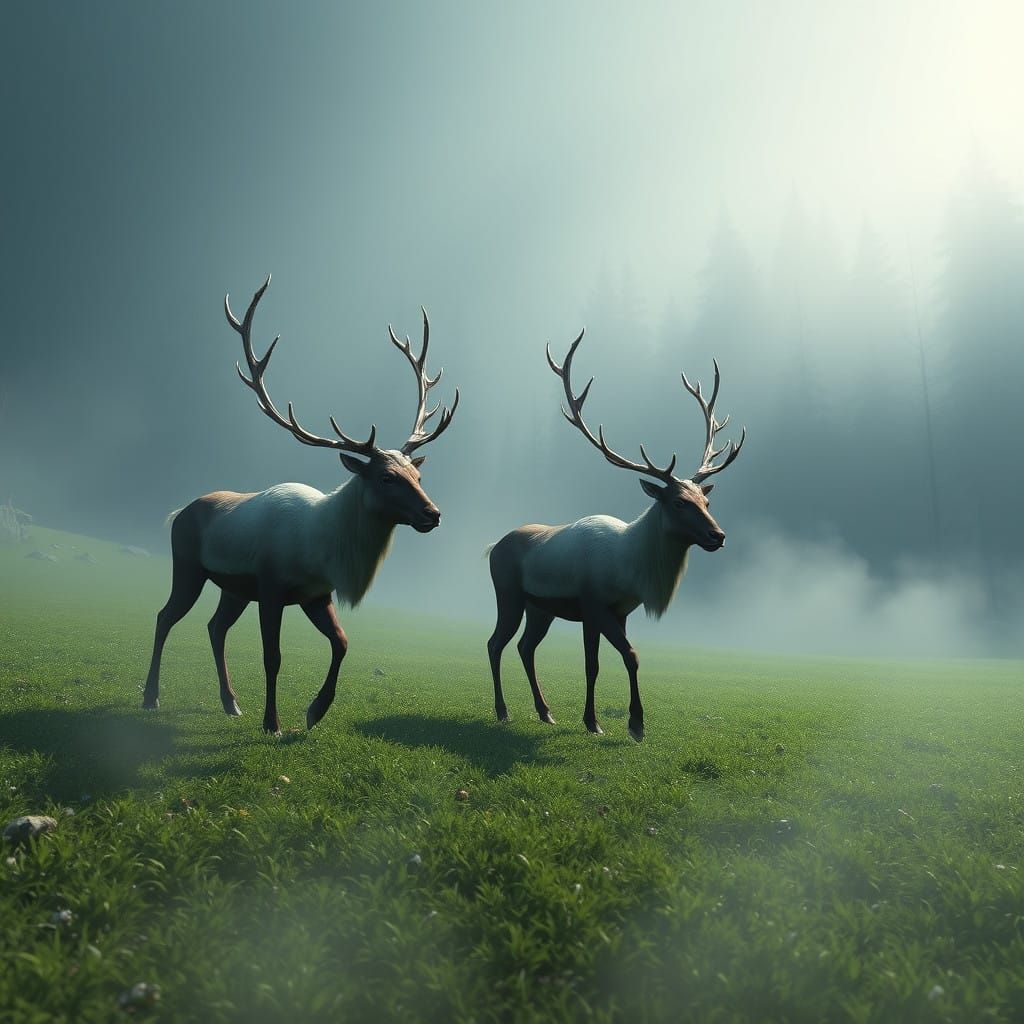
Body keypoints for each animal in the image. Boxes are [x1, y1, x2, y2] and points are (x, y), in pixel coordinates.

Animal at [142, 277, 459, 735]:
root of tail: (177, 512)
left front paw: (315, 710)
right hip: (187, 566)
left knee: (215, 627)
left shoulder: (315, 593)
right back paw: (151, 696)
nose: (432, 514)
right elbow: (272, 657)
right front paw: (272, 722)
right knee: (166, 616)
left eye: (417, 477)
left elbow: (342, 642)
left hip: (233, 587)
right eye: (386, 477)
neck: (322, 549)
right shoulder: (271, 585)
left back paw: (230, 702)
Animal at [486, 331, 744, 742]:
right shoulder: (593, 605)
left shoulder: (620, 611)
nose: (717, 535)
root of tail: (492, 547)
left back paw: (545, 711)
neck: (630, 570)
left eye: (705, 500)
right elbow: (601, 663)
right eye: (678, 502)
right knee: (496, 643)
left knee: (525, 647)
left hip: (540, 607)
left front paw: (629, 722)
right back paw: (503, 711)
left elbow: (627, 658)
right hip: (508, 593)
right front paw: (603, 722)